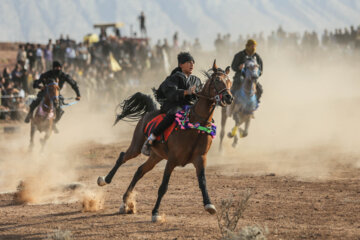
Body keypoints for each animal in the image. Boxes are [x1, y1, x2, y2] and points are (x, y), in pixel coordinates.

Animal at [97, 61, 233, 222]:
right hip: (137, 145)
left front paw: (209, 204)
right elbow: (163, 187)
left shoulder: (200, 159)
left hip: (156, 156)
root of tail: (150, 111)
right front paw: (155, 213)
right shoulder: (172, 160)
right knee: (123, 157)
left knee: (139, 171)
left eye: (230, 81)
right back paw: (105, 180)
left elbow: (203, 182)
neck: (195, 124)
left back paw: (125, 203)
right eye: (217, 80)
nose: (229, 97)